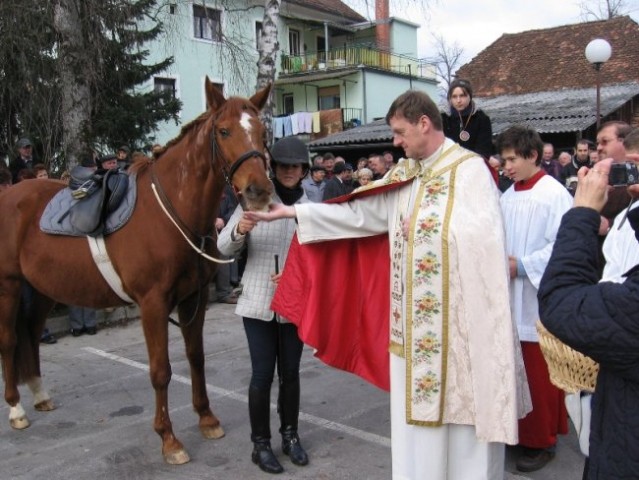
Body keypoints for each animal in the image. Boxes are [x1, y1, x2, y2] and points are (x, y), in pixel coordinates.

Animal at [0, 79, 272, 464]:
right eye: (224, 131)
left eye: (263, 132)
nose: (258, 190)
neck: (171, 212)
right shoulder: (153, 305)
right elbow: (161, 371)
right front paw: (169, 439)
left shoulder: (193, 298)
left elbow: (196, 357)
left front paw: (207, 418)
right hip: (8, 285)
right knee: (9, 340)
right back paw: (16, 408)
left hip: (41, 290)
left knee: (31, 332)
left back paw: (39, 394)